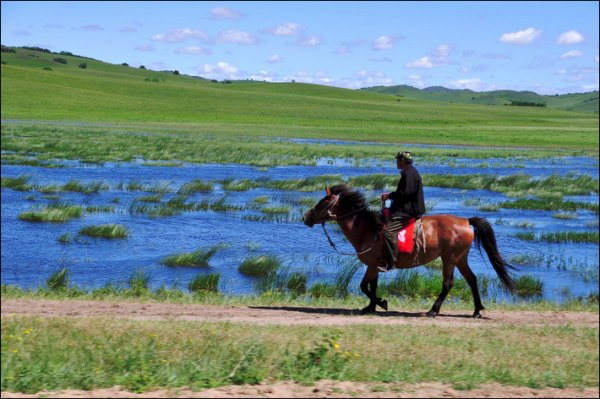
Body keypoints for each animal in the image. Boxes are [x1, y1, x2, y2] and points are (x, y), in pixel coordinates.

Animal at [304, 184, 516, 318]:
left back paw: (433, 310)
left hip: (449, 258)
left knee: (448, 283)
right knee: (472, 279)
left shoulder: (372, 264)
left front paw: (381, 303)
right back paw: (477, 310)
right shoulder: (376, 265)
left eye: (323, 202)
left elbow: (364, 286)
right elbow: (372, 286)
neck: (367, 229)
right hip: (460, 258)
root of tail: (466, 221)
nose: (306, 217)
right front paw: (370, 307)